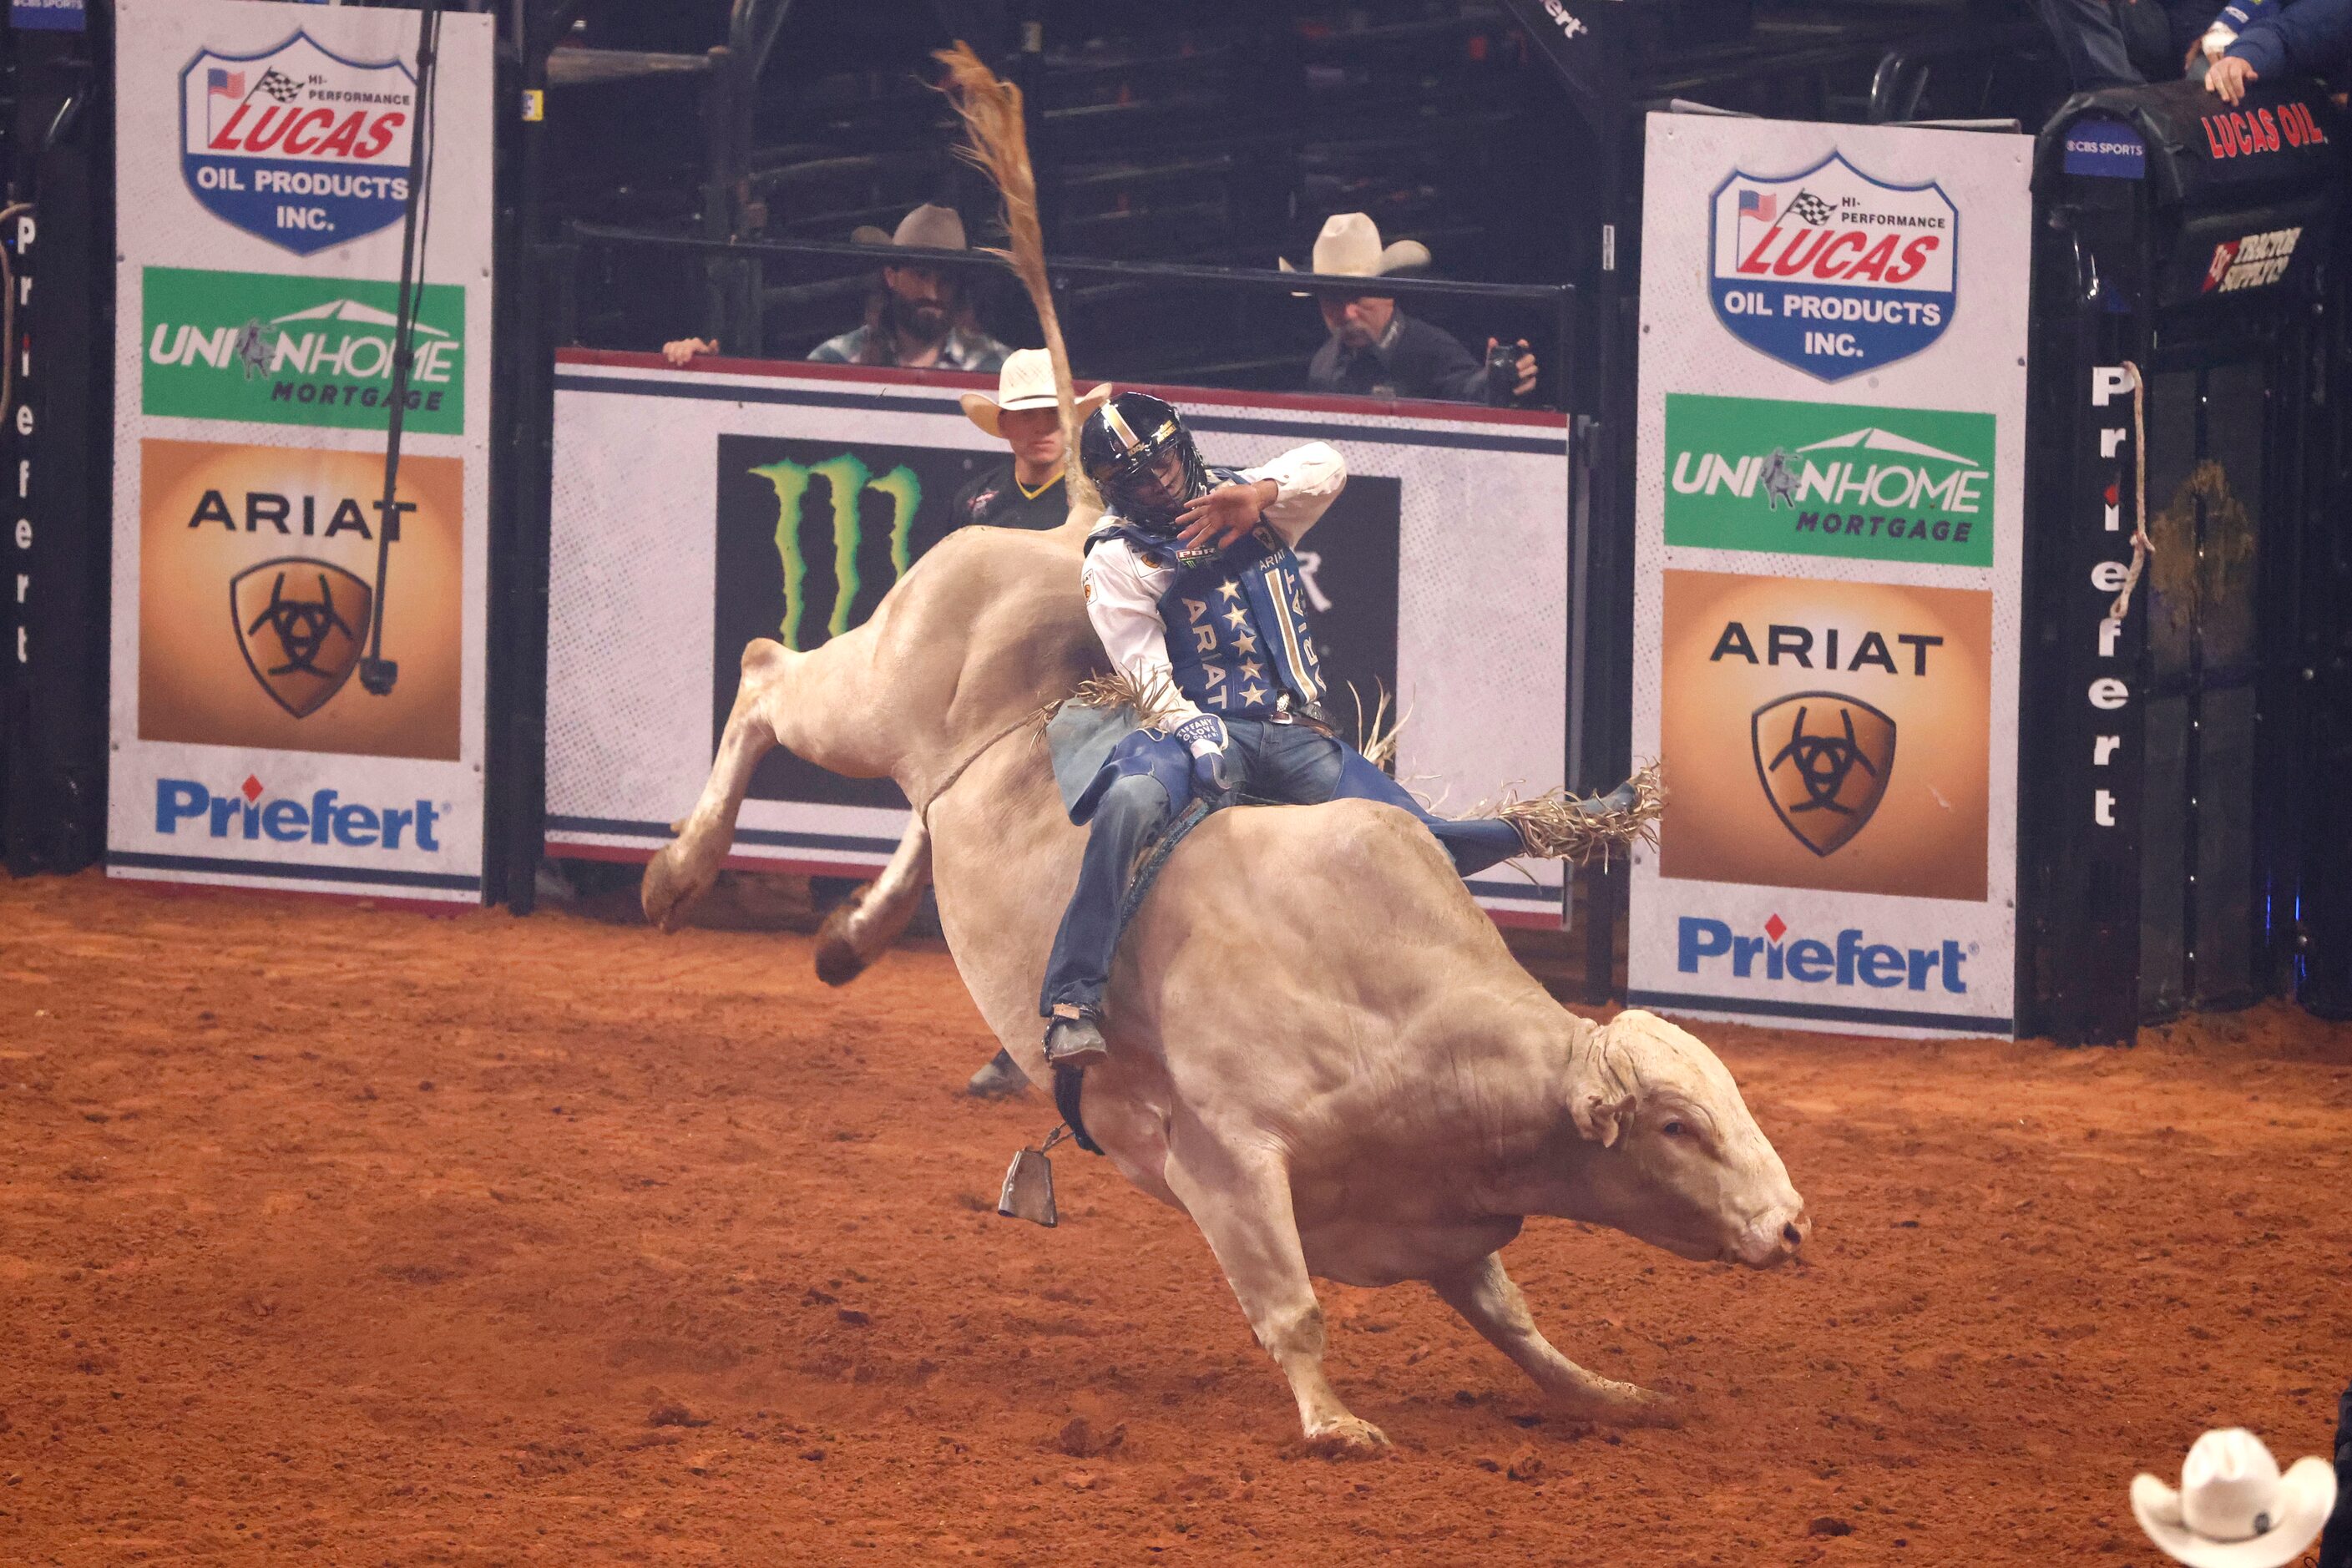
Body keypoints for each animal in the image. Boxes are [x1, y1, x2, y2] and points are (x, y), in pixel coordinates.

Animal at [635, 522, 1806, 1457]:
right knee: (764, 672)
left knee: (898, 803)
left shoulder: (1431, 1218)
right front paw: (1334, 1425)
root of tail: (1055, 535)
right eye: (1677, 1127)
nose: (1793, 1228)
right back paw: (678, 873)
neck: (1398, 1020)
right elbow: (1293, 1311)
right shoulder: (1223, 1164)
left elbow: (1514, 1324)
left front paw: (1612, 1394)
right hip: (872, 698)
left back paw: (851, 935)